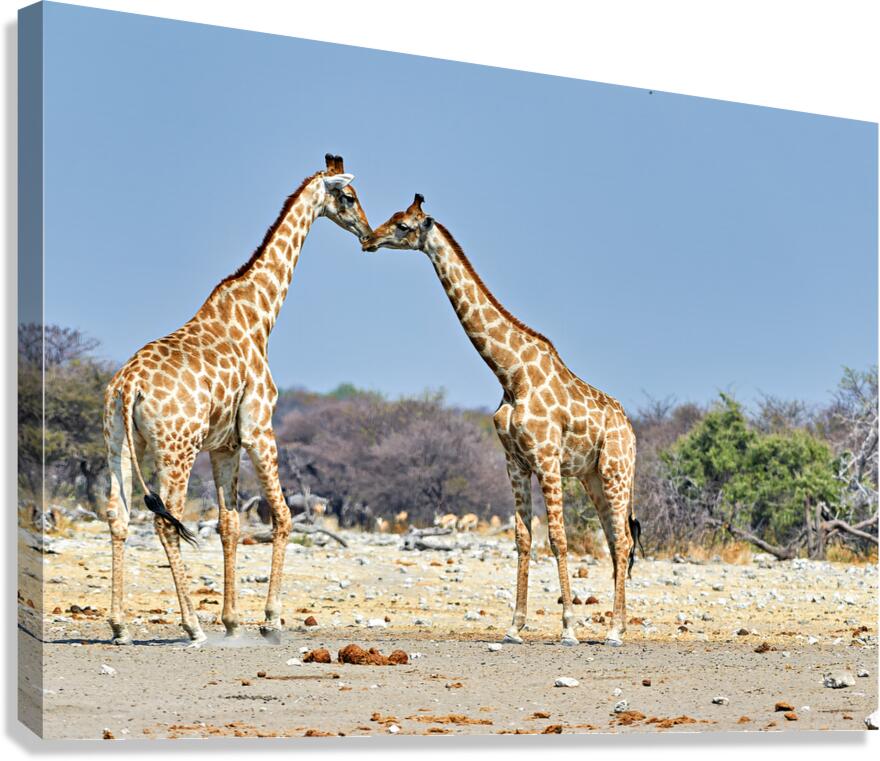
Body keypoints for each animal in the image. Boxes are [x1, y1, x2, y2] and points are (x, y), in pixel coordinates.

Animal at [102, 154, 371, 646]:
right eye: (348, 195)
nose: (365, 230)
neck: (259, 315)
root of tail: (127, 385)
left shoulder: (224, 444)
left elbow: (230, 524)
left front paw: (231, 621)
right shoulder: (260, 428)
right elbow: (282, 517)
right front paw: (270, 620)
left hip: (119, 444)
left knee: (118, 515)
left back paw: (119, 625)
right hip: (176, 449)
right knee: (165, 520)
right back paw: (191, 626)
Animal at [362, 195, 640, 646]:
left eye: (403, 225)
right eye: (391, 217)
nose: (368, 239)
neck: (511, 374)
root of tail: (631, 430)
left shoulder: (546, 460)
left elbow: (558, 538)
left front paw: (568, 628)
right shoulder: (515, 463)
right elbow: (523, 539)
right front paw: (514, 626)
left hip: (617, 471)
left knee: (623, 539)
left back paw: (615, 631)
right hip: (593, 477)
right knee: (616, 540)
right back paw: (617, 625)